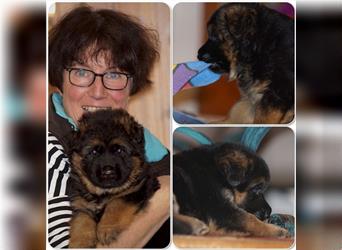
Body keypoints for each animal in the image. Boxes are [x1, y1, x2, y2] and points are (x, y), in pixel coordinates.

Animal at [67, 110, 160, 248]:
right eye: (94, 152)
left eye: (119, 150)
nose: (108, 171)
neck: (103, 193)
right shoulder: (81, 204)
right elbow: (81, 220)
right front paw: (81, 243)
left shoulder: (138, 189)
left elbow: (115, 204)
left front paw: (106, 229)